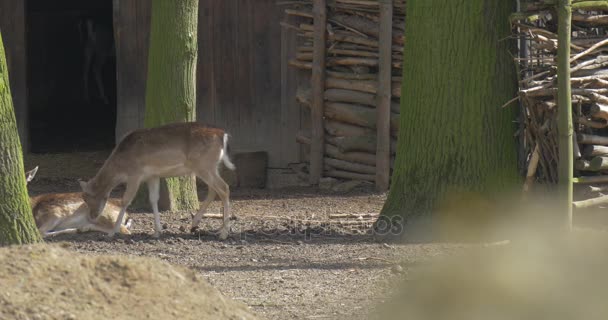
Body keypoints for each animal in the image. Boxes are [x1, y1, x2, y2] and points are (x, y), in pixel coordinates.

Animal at [78, 121, 235, 239]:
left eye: (86, 198)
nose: (92, 217)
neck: (120, 167)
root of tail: (223, 135)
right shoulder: (152, 176)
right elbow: (153, 199)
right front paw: (157, 231)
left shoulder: (135, 174)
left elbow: (125, 200)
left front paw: (112, 232)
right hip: (212, 166)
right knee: (213, 190)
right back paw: (195, 224)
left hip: (204, 165)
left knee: (224, 188)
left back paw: (223, 233)